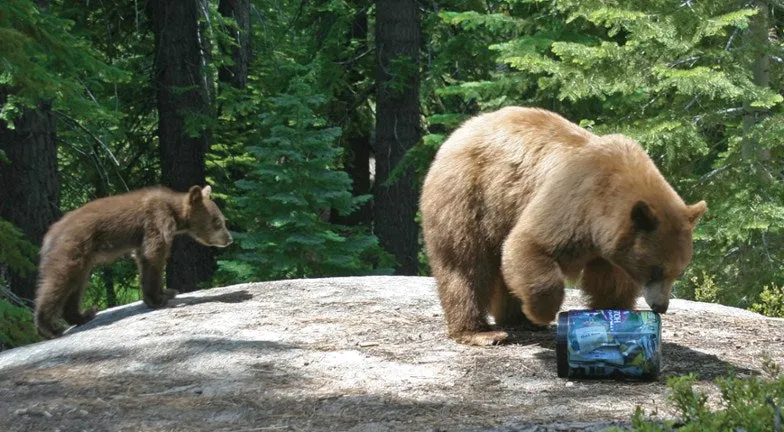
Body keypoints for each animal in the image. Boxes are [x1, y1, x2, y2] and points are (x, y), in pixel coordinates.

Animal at [420, 107, 708, 344]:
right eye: (656, 269)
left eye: (679, 271)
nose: (661, 306)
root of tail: (459, 131)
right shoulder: (574, 202)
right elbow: (530, 244)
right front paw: (541, 312)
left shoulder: (611, 249)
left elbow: (611, 283)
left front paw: (614, 314)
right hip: (469, 197)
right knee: (464, 265)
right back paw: (480, 332)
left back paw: (516, 319)